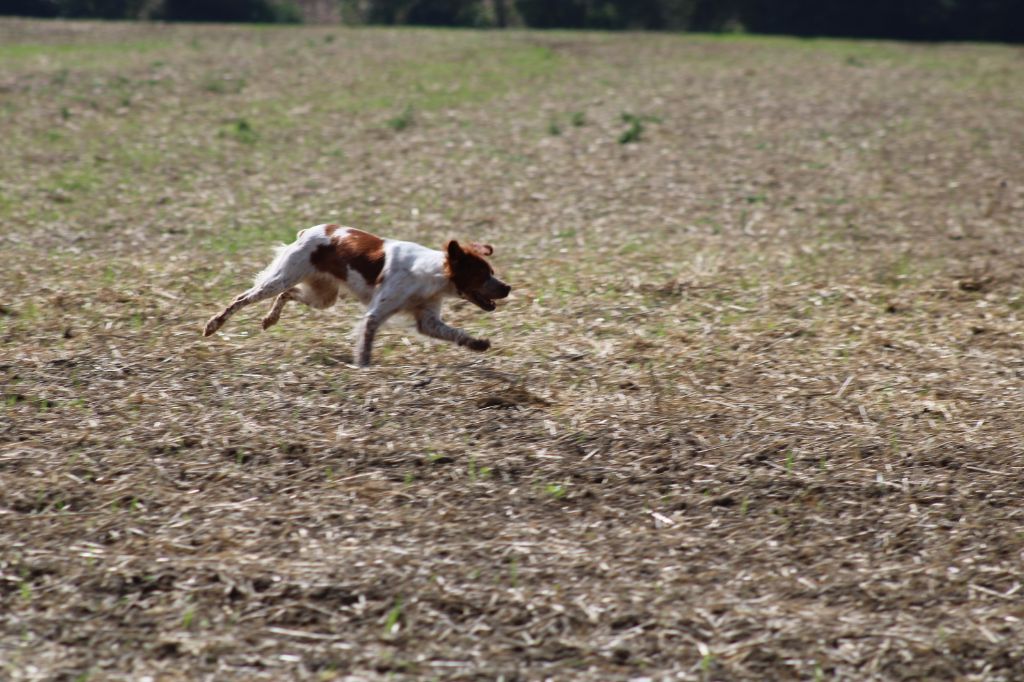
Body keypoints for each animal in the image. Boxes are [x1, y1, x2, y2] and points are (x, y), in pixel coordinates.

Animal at [203, 223, 512, 364]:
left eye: (491, 271)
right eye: (483, 275)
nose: (507, 287)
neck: (429, 274)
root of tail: (308, 231)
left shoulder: (427, 320)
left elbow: (455, 333)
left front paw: (478, 344)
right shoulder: (376, 313)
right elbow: (366, 342)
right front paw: (363, 369)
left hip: (323, 296)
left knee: (288, 294)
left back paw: (270, 320)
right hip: (281, 278)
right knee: (243, 299)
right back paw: (213, 324)